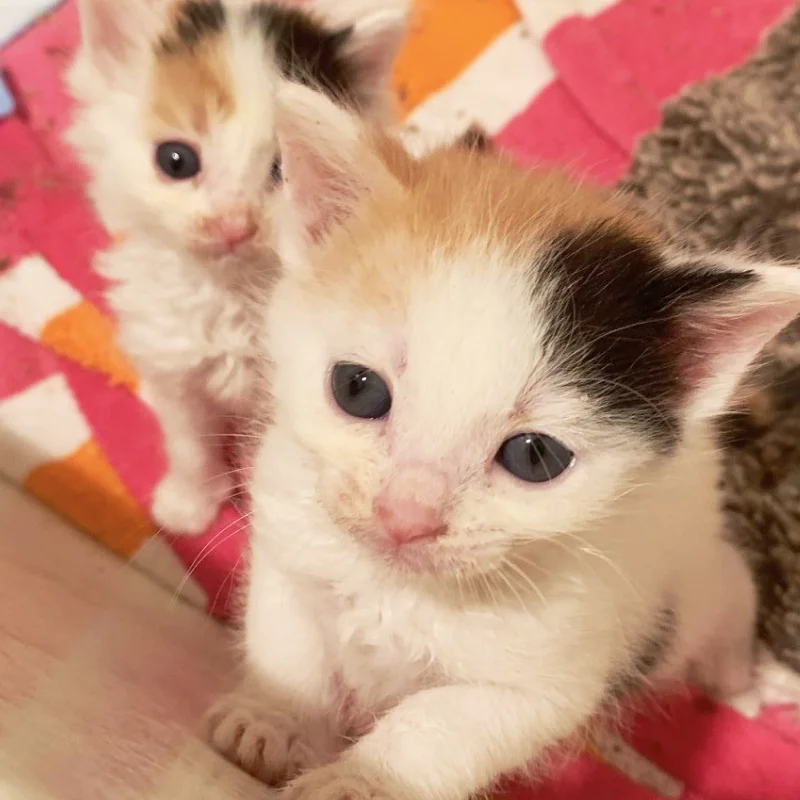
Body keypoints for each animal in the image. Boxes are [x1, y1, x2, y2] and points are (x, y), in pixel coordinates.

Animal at [65, 1, 410, 536]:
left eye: (282, 171)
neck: (232, 294)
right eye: (176, 160)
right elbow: (188, 439)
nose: (234, 225)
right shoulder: (174, 363)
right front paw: (188, 505)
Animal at [206, 84, 800, 796]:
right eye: (358, 389)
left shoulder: (546, 680)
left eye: (534, 457)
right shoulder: (287, 549)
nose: (405, 516)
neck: (400, 587)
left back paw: (744, 682)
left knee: (734, 593)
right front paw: (272, 720)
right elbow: (289, 647)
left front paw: (361, 779)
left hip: (695, 583)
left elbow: (439, 725)